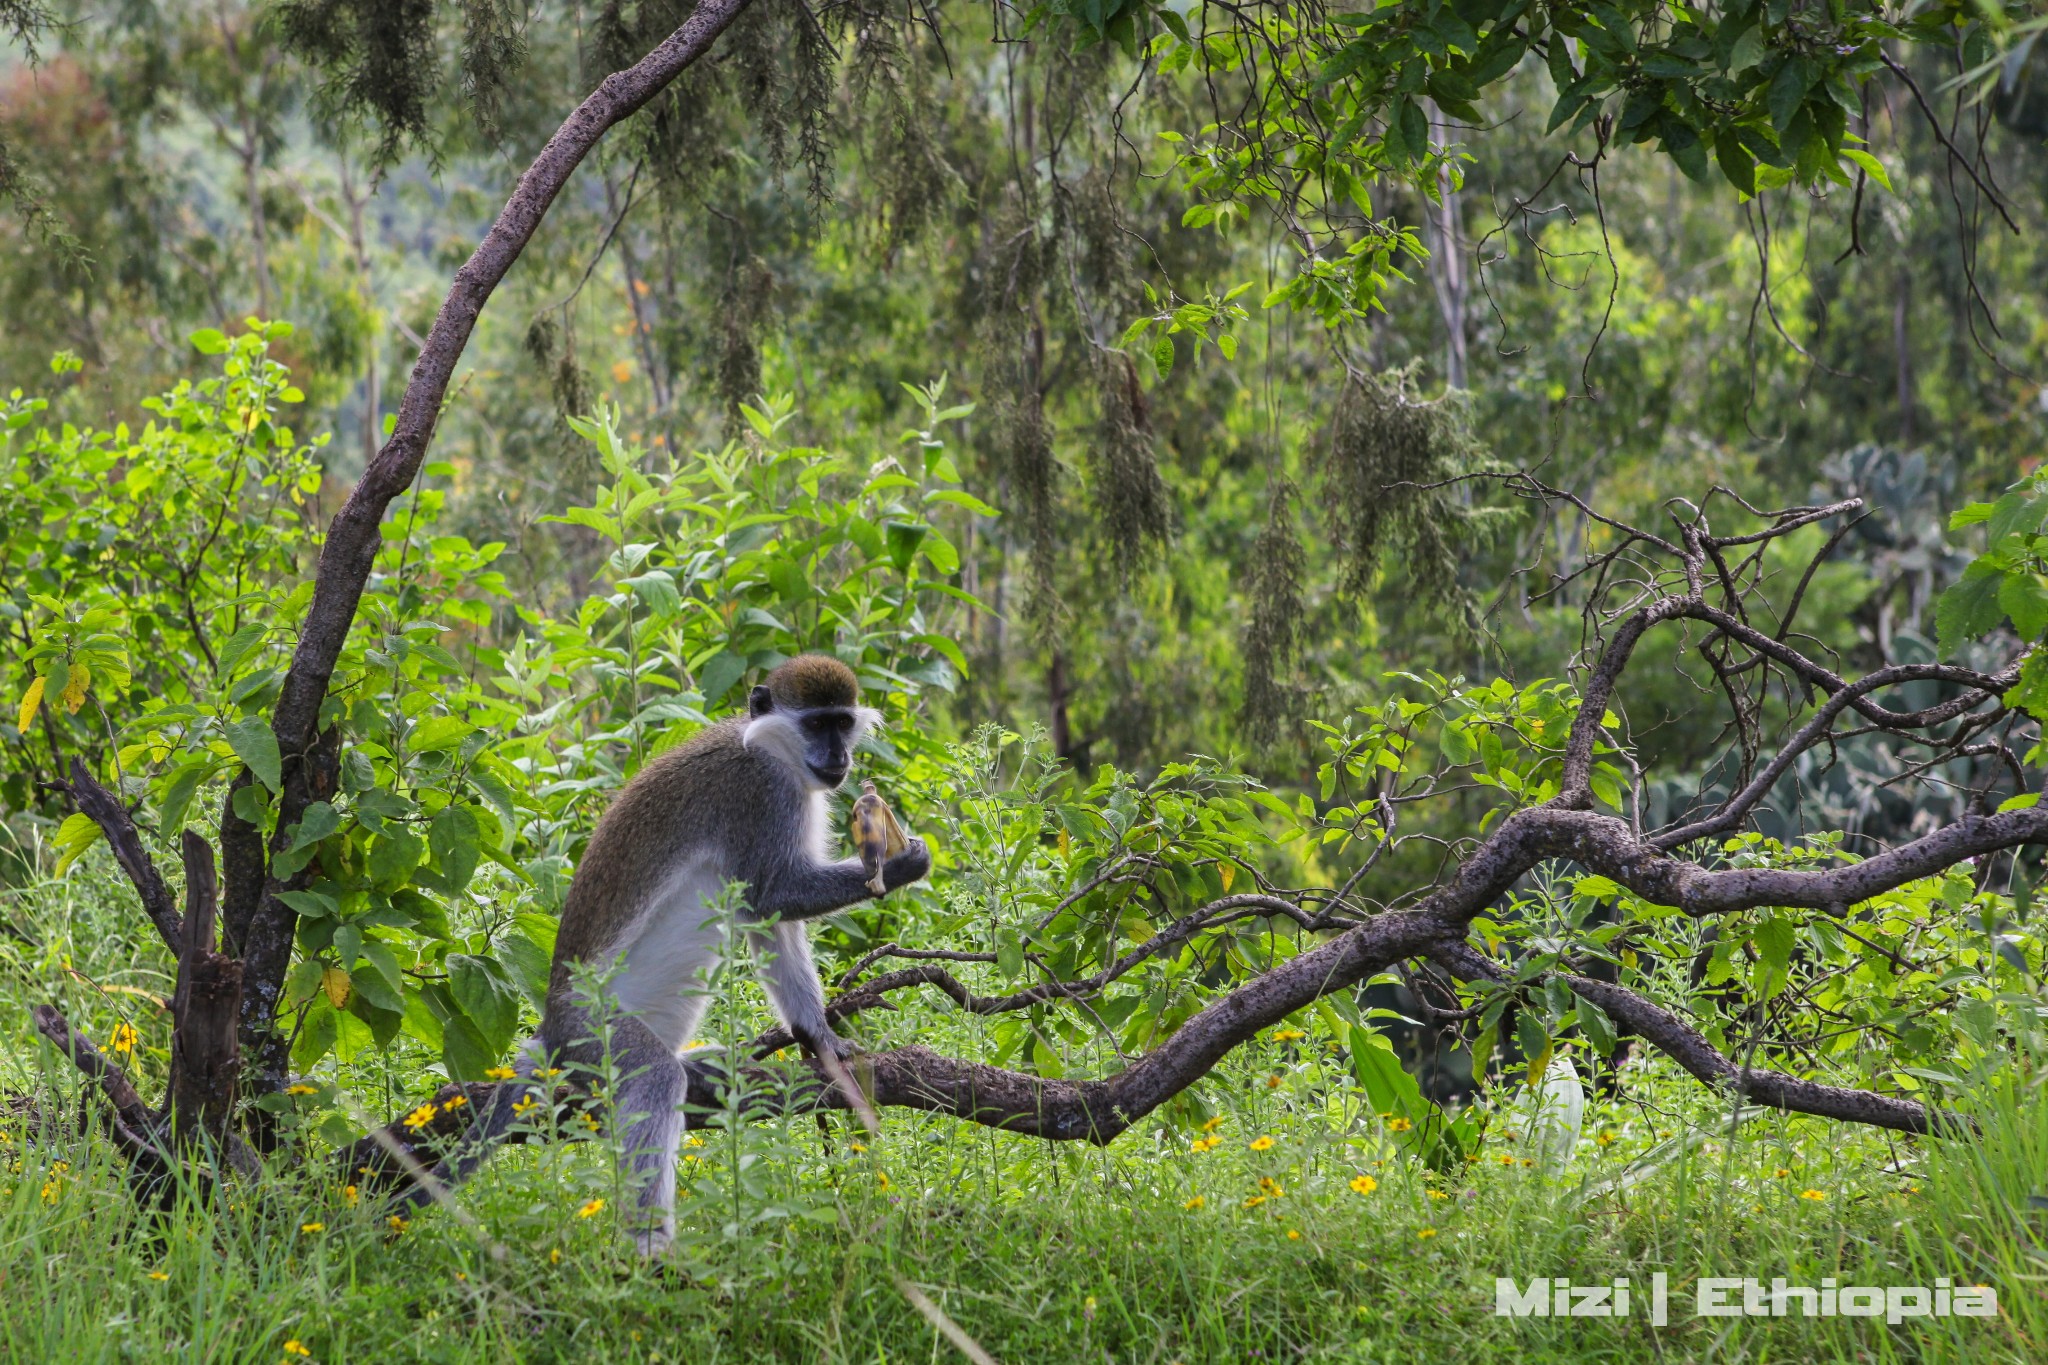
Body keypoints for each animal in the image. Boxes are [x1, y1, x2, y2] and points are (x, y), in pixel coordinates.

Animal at [393, 654, 937, 1252]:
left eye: (841, 723)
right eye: (816, 724)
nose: (839, 756)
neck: (768, 746)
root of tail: (551, 1032)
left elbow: (767, 921)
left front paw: (818, 1037)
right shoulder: (762, 793)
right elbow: (773, 894)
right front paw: (903, 864)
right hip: (594, 1033)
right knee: (653, 1078)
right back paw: (651, 1244)